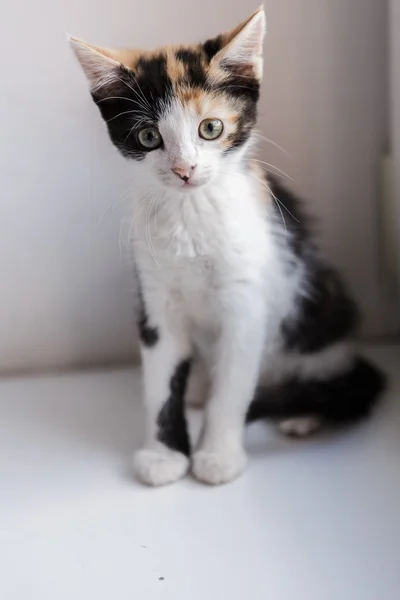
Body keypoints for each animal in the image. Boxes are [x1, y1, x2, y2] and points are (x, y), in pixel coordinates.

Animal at [70, 5, 386, 488]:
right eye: (148, 137)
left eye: (211, 128)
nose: (184, 169)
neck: (191, 213)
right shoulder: (155, 302)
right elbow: (160, 383)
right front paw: (164, 455)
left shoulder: (246, 304)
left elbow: (232, 387)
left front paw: (216, 454)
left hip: (317, 307)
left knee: (325, 377)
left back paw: (304, 412)